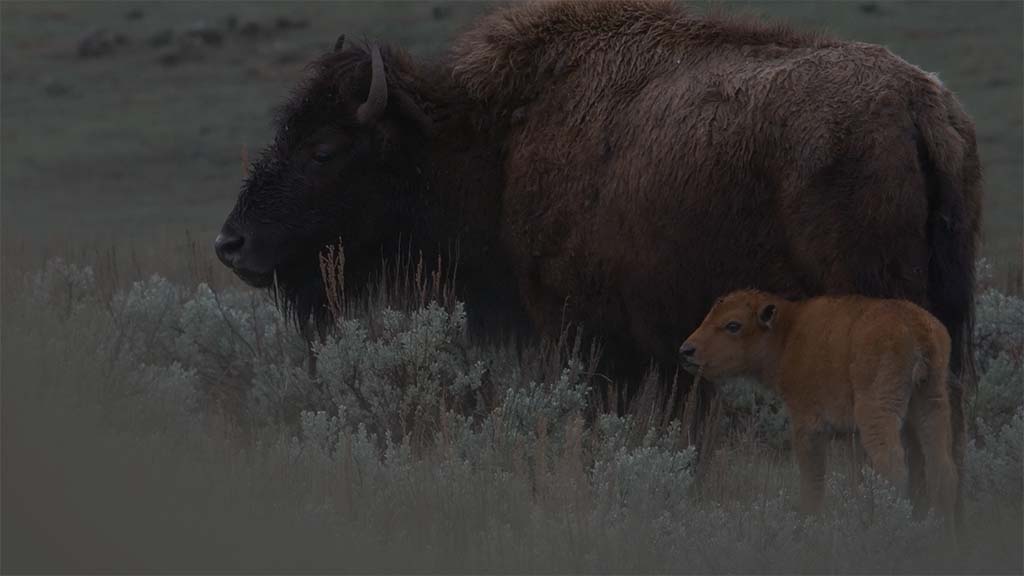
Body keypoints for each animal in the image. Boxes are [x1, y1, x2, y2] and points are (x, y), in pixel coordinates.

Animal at [216, 0, 983, 500]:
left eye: (324, 148)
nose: (232, 243)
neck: (498, 135)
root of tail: (920, 105)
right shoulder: (673, 349)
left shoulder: (587, 334)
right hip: (950, 319)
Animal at [679, 291, 958, 528]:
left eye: (733, 325)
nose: (686, 350)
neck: (787, 334)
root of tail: (917, 327)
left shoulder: (808, 424)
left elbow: (812, 478)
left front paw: (808, 521)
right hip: (932, 402)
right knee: (942, 466)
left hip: (877, 410)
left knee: (892, 462)